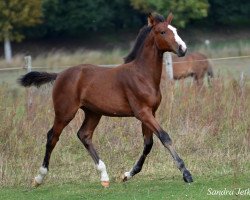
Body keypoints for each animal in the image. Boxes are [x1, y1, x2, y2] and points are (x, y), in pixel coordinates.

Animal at [19, 12, 193, 188]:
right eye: (163, 32)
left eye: (175, 30)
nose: (183, 49)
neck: (142, 74)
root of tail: (60, 74)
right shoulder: (142, 112)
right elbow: (164, 137)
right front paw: (186, 173)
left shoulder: (151, 113)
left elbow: (148, 143)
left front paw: (127, 175)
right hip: (65, 112)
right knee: (52, 137)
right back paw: (39, 178)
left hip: (93, 113)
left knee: (84, 135)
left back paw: (104, 176)